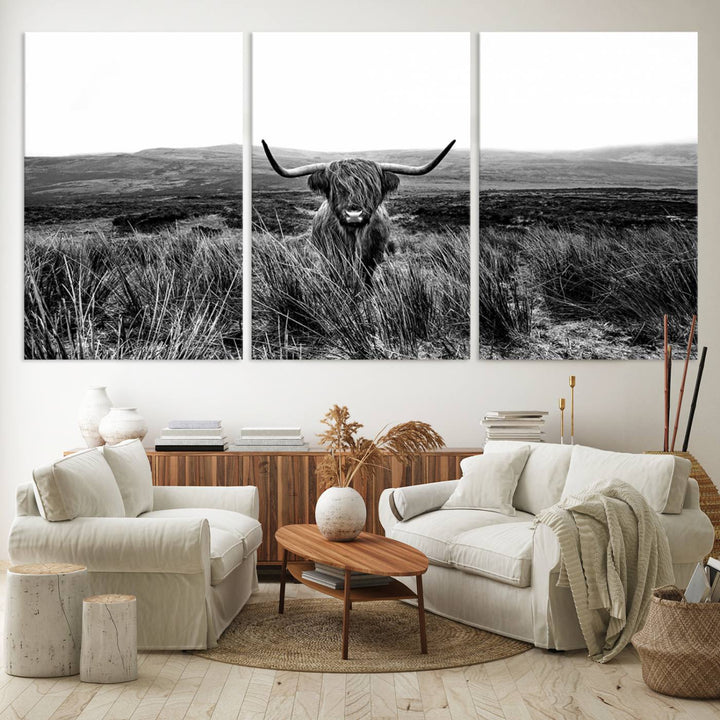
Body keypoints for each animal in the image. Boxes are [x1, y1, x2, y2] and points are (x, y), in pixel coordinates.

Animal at [262, 138, 456, 282]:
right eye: (337, 187)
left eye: (371, 187)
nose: (354, 214)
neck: (353, 237)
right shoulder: (332, 258)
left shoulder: (372, 259)